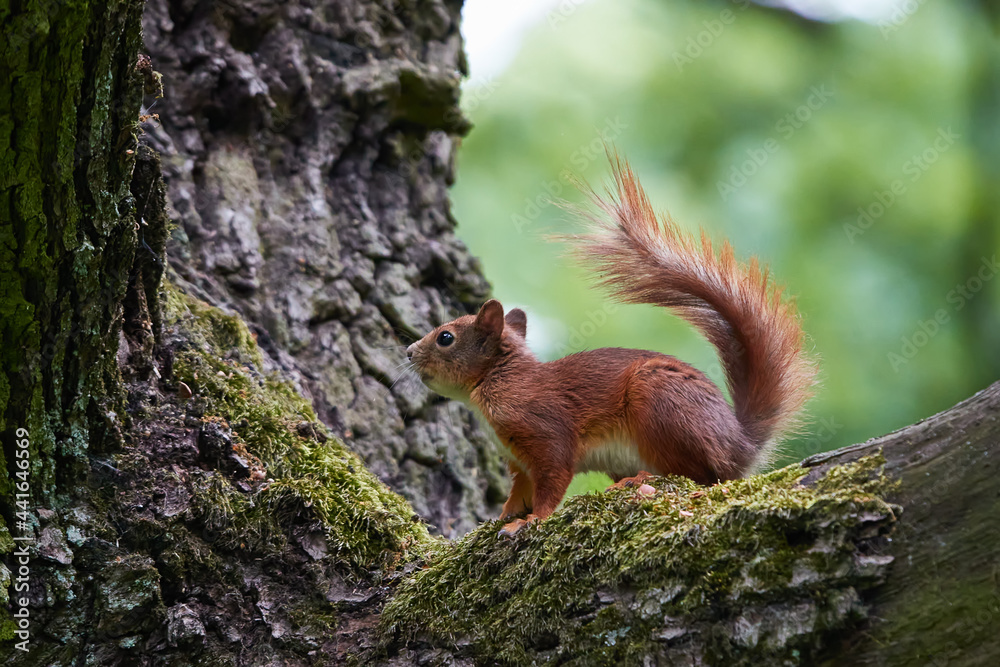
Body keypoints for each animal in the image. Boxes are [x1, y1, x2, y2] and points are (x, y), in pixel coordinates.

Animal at [402, 157, 816, 536]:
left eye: (445, 337)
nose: (407, 352)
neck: (497, 381)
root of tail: (739, 446)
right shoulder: (518, 461)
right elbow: (519, 491)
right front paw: (503, 517)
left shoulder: (546, 431)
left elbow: (552, 479)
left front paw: (532, 520)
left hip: (661, 404)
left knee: (696, 474)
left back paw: (640, 481)